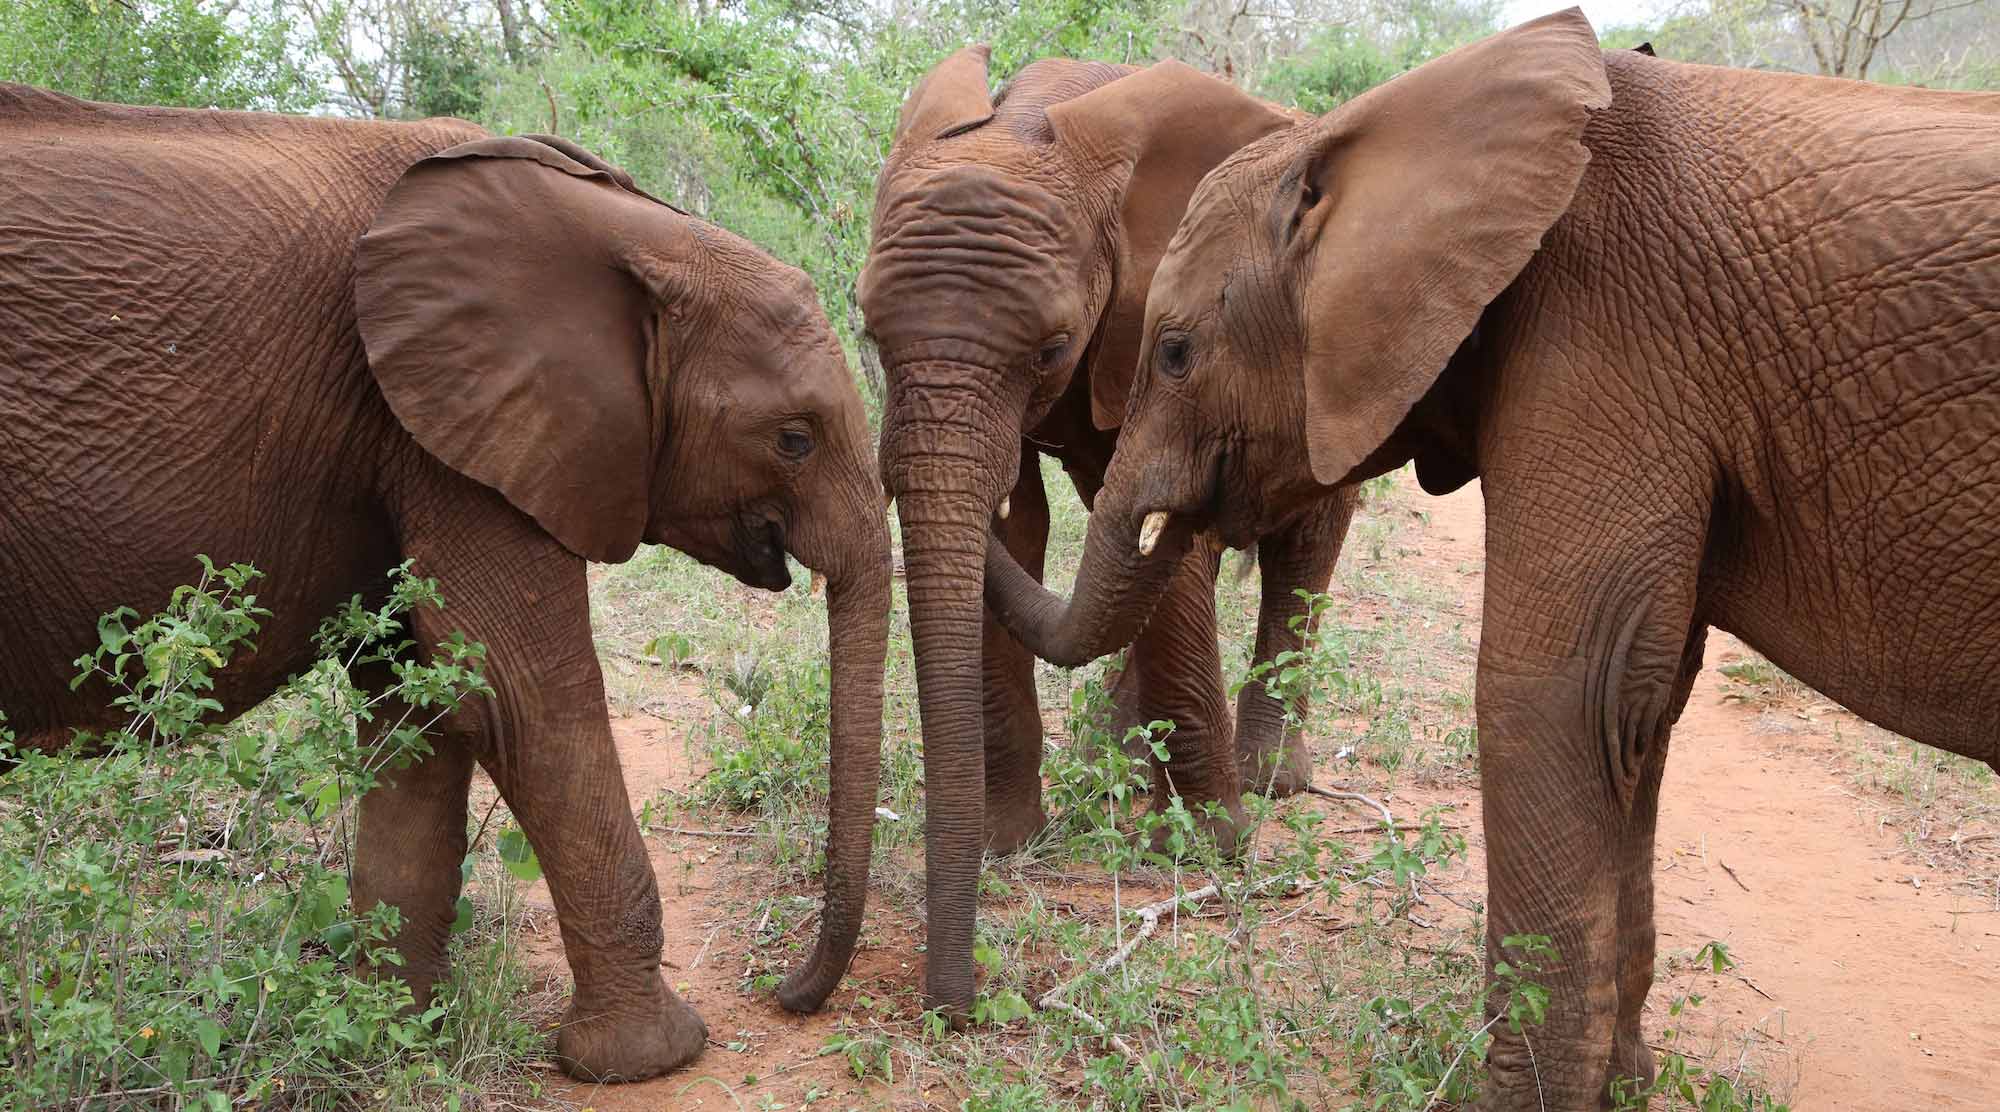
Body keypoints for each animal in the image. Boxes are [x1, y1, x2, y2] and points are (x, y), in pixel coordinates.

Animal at [0, 84, 890, 1081]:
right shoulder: (442, 427)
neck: (619, 223)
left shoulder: (416, 427)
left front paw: (392, 1028)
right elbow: (523, 697)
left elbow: (420, 704)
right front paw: (651, 1059)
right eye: (794, 439)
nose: (783, 994)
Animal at [860, 47, 1360, 1022]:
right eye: (867, 331)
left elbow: (1168, 544)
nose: (954, 1008)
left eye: (1052, 348)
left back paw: (1268, 780)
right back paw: (1115, 765)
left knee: (1304, 546)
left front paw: (1209, 851)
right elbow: (1022, 526)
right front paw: (1011, 843)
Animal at [982, 10, 2000, 1109]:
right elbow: (1639, 707)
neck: (1391, 126)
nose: (1015, 486)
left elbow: (1564, 688)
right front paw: (1626, 1082)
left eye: (1172, 353)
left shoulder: (1607, 333)